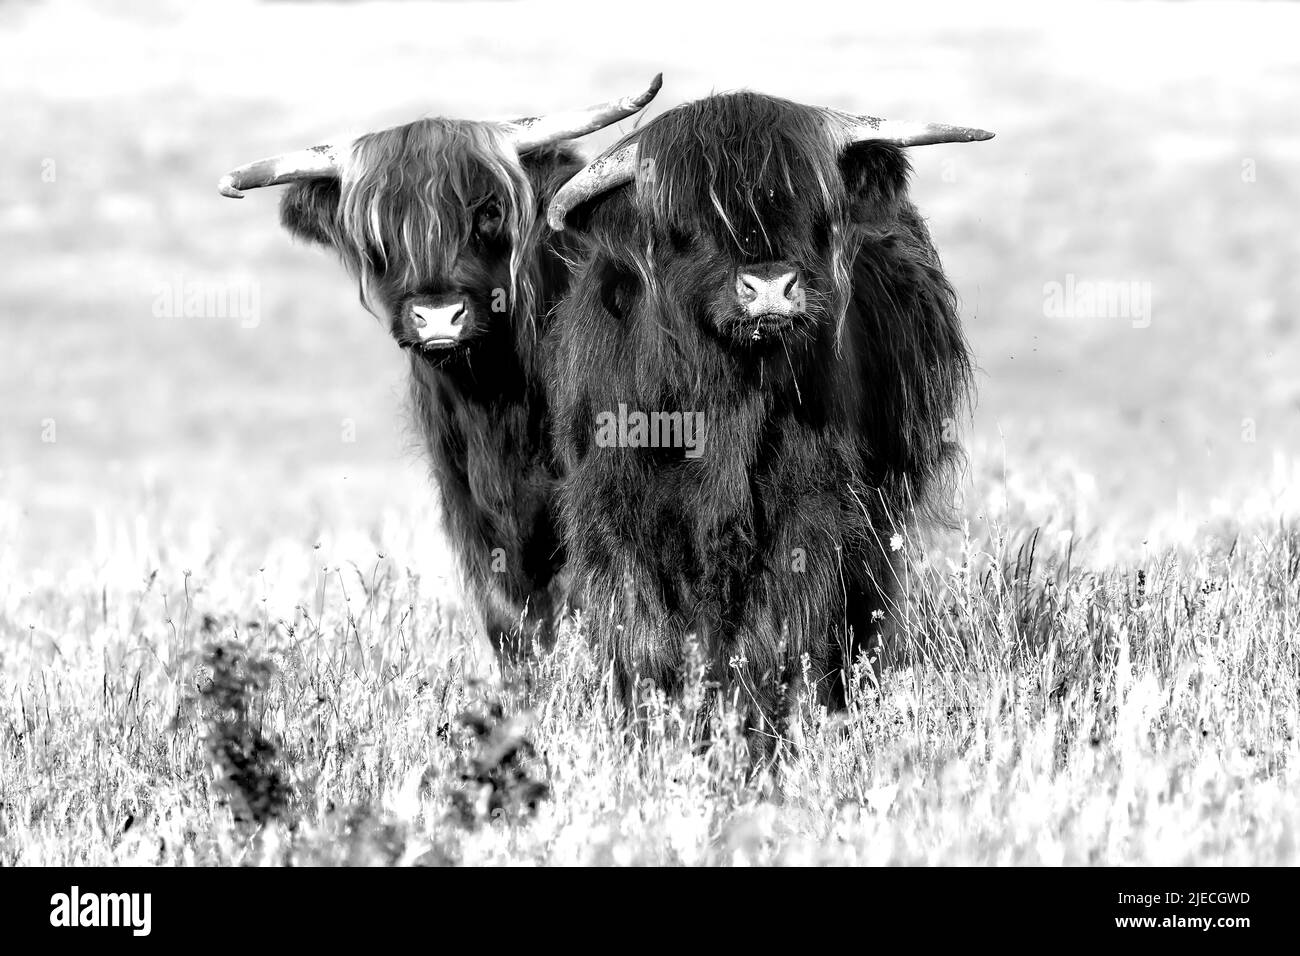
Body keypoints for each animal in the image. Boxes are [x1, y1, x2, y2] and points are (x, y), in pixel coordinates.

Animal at [220, 80, 660, 658]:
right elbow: (511, 626)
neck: (497, 404)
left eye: (488, 212)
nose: (437, 315)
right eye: (378, 233)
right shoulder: (470, 506)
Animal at [543, 89, 987, 743]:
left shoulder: (815, 509)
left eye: (810, 206)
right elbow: (645, 634)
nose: (772, 286)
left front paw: (770, 725)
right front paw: (653, 728)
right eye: (687, 222)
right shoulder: (616, 512)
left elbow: (782, 631)